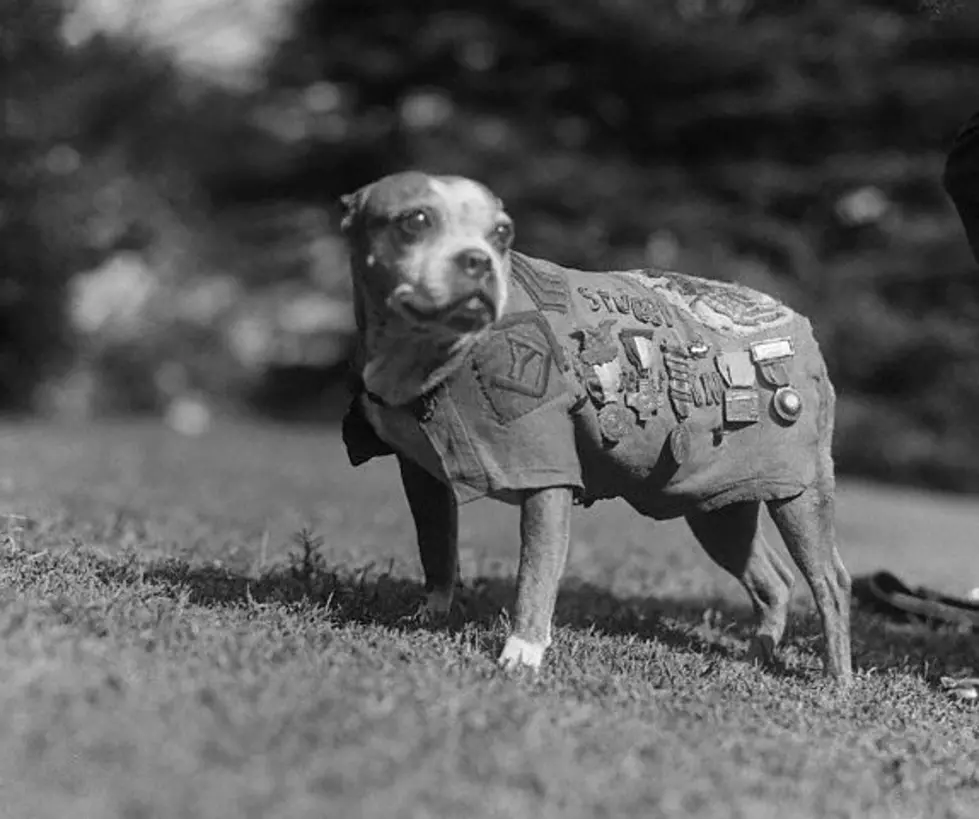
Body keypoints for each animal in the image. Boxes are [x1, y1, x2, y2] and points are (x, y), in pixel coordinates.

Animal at [340, 170, 852, 684]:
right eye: (414, 220)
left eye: (502, 233)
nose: (478, 259)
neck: (430, 355)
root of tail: (797, 322)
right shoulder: (422, 477)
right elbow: (437, 550)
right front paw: (430, 616)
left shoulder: (547, 478)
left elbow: (535, 571)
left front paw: (522, 653)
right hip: (717, 506)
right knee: (773, 580)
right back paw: (756, 657)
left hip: (800, 495)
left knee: (831, 582)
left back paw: (837, 679)